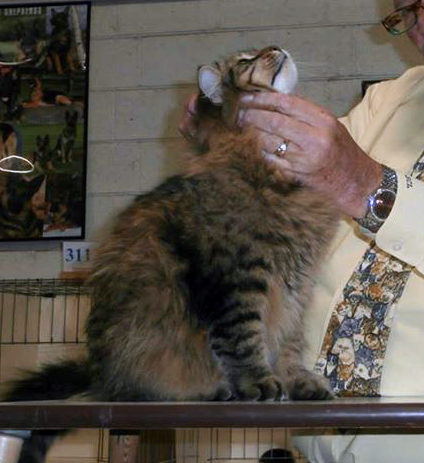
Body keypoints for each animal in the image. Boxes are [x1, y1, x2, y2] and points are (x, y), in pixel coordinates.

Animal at [4, 46, 338, 463]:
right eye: (246, 61)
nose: (276, 48)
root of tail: (100, 376)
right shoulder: (235, 280)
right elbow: (244, 341)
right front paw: (259, 382)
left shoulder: (296, 285)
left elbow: (290, 345)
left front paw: (298, 382)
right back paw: (212, 390)